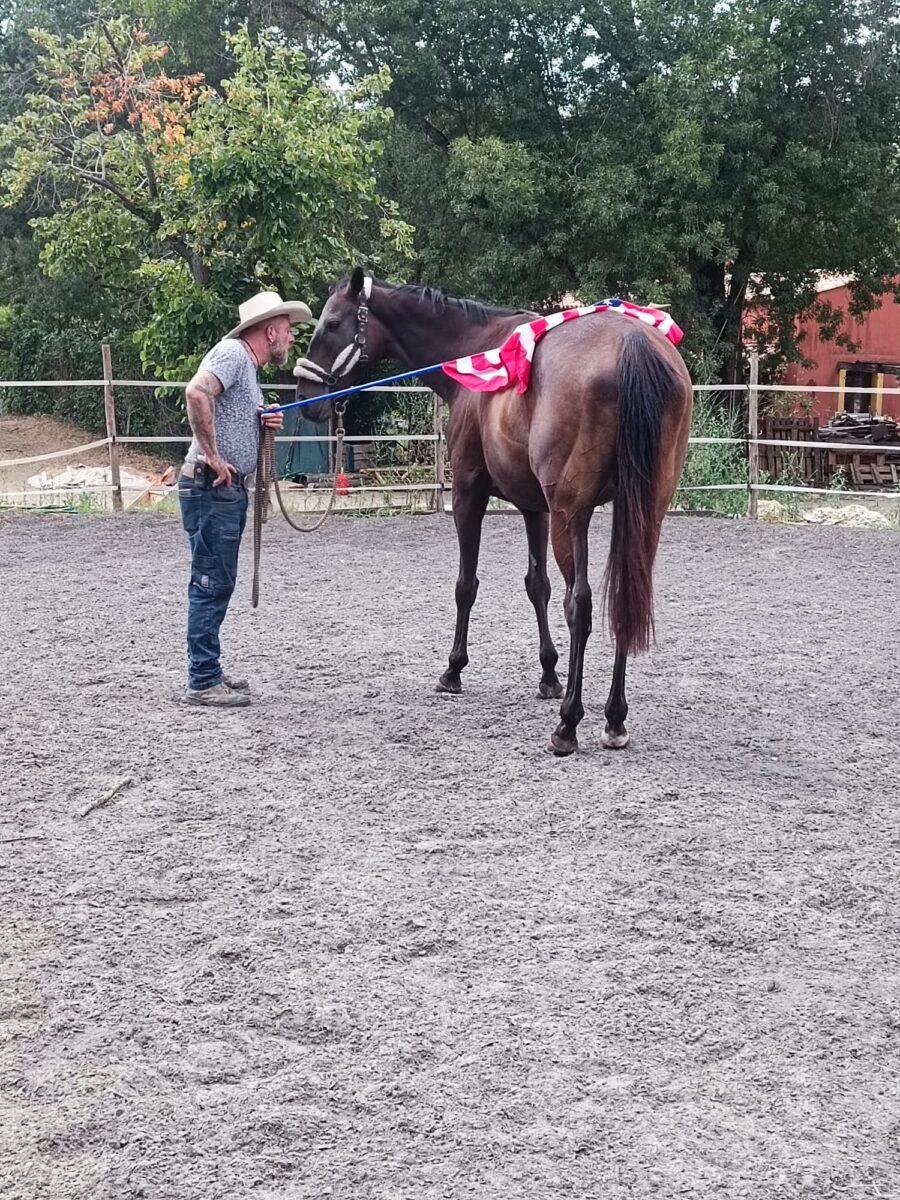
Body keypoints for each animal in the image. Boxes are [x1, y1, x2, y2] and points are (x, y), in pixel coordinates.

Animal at [300, 271, 696, 753]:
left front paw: (453, 669)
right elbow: (536, 586)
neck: (477, 349)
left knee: (579, 604)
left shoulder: (469, 495)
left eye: (333, 323)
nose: (304, 395)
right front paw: (549, 674)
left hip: (571, 514)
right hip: (642, 513)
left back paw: (568, 724)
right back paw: (614, 718)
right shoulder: (533, 507)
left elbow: (466, 586)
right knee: (623, 596)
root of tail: (632, 344)